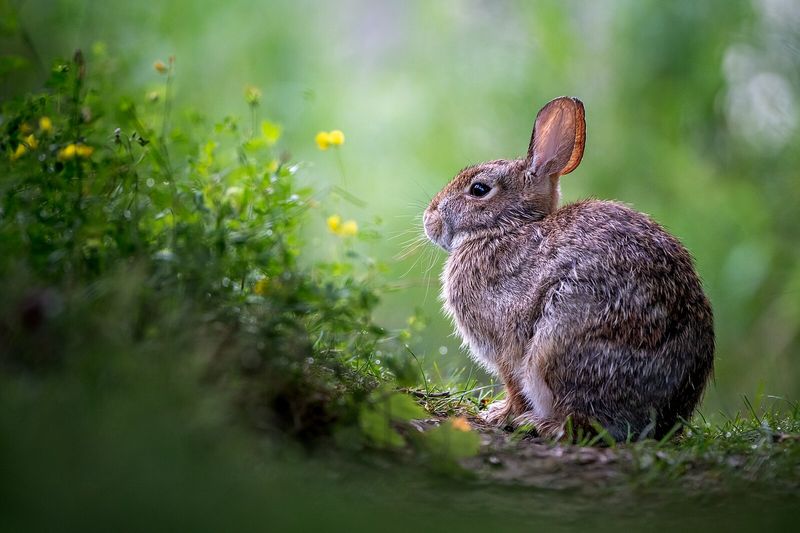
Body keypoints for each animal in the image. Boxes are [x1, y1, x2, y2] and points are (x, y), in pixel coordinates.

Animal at [423, 96, 714, 441]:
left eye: (479, 189)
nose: (429, 219)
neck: (505, 229)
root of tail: (665, 416)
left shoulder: (507, 346)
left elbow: (514, 386)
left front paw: (499, 414)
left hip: (556, 346)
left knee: (582, 423)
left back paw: (540, 424)